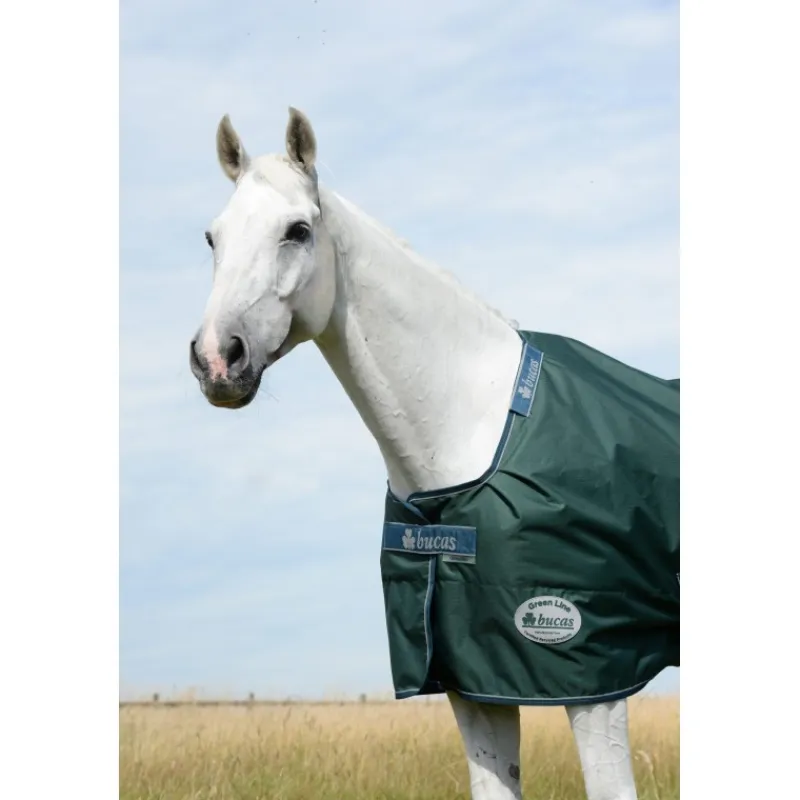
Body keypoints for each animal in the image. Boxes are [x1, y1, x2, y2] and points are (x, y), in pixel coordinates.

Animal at [188, 107, 679, 800]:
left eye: (298, 230)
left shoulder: (595, 679)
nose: (215, 359)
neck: (475, 431)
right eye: (213, 238)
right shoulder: (474, 681)